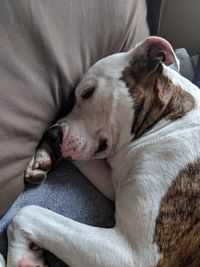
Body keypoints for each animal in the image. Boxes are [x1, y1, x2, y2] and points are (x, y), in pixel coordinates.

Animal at [0, 36, 199, 266]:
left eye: (87, 93)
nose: (51, 134)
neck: (167, 119)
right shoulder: (116, 179)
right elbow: (83, 159)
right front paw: (41, 157)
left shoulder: (132, 254)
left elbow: (26, 213)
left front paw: (23, 258)